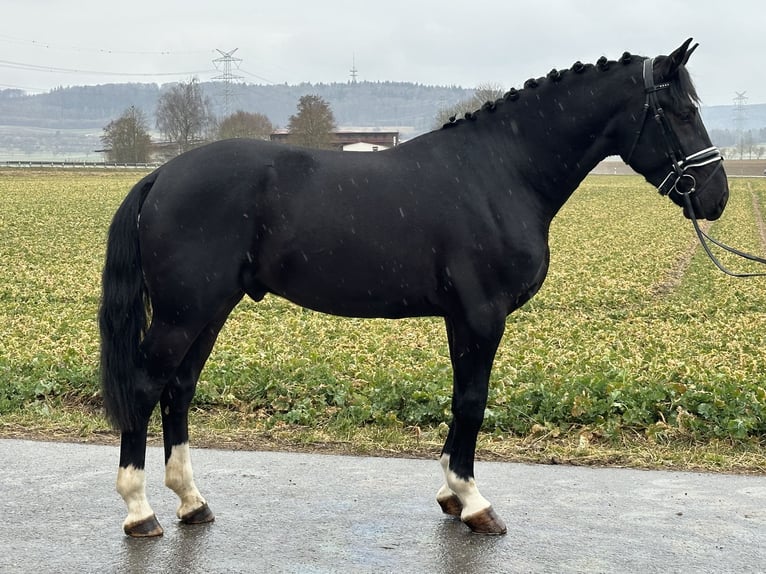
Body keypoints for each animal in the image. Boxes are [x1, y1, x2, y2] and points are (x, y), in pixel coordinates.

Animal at [102, 40, 732, 540]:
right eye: (679, 111)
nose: (717, 196)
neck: (499, 172)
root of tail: (162, 175)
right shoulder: (482, 315)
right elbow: (473, 401)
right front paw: (475, 503)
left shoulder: (461, 318)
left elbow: (460, 399)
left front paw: (453, 497)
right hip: (183, 314)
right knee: (145, 387)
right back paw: (140, 511)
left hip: (209, 310)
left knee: (178, 389)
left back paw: (191, 502)